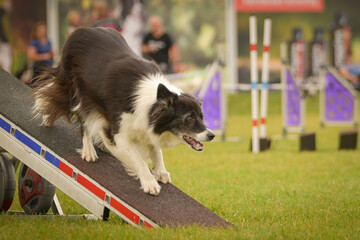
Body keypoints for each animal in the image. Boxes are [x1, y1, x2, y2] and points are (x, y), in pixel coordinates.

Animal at [33, 27, 214, 195]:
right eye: (189, 118)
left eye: (202, 116)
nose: (212, 135)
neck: (151, 104)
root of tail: (82, 29)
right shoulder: (117, 132)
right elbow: (139, 160)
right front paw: (149, 182)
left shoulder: (146, 126)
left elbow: (156, 150)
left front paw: (160, 171)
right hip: (79, 93)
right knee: (83, 119)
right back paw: (88, 150)